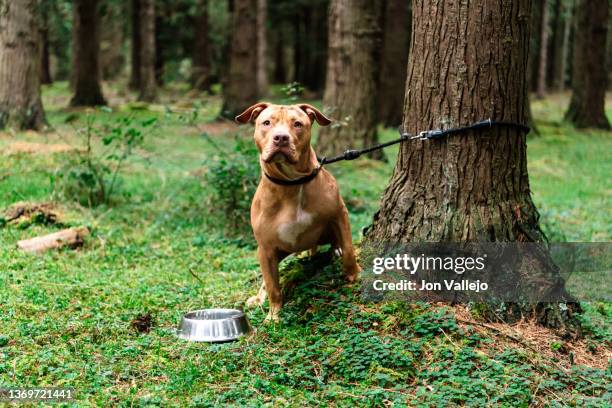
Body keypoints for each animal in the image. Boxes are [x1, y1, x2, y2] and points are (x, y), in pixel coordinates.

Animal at [233, 103, 358, 322]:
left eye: (298, 124)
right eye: (267, 122)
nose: (281, 138)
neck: (292, 183)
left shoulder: (339, 213)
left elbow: (349, 248)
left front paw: (353, 274)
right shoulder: (266, 249)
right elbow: (272, 286)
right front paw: (273, 316)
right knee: (266, 281)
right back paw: (258, 299)